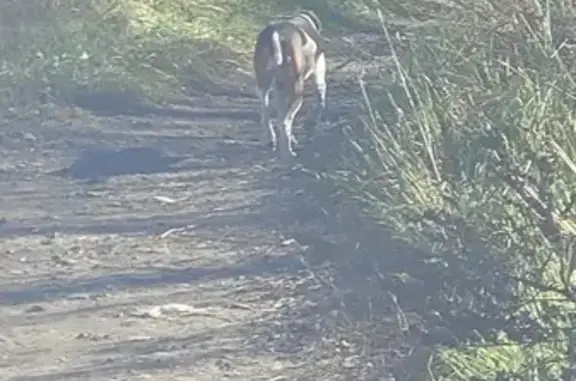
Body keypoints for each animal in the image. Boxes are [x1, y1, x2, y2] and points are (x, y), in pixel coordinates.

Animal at [253, 10, 326, 162]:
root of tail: (276, 33)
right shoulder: (319, 78)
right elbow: (321, 102)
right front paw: (311, 124)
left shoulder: (280, 90)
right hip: (297, 93)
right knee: (284, 122)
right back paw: (288, 153)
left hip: (264, 88)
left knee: (267, 115)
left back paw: (270, 139)